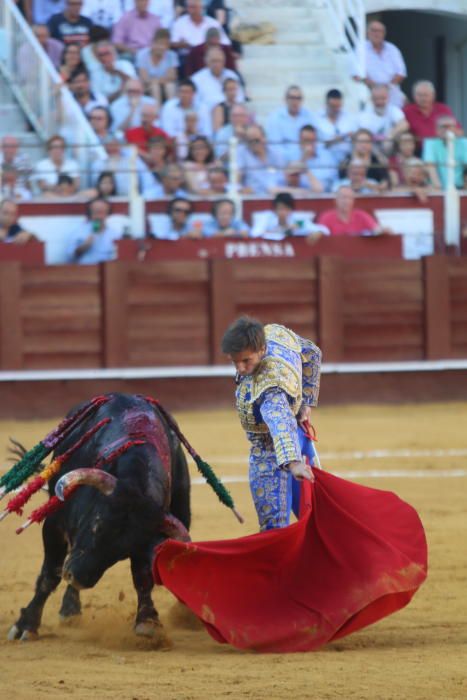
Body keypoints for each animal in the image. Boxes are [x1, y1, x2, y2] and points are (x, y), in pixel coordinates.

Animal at [7, 394, 190, 640]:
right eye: (96, 525)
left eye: (123, 552)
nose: (78, 577)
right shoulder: (54, 524)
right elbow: (50, 574)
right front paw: (26, 625)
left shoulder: (147, 539)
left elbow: (143, 577)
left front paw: (147, 621)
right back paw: (68, 610)